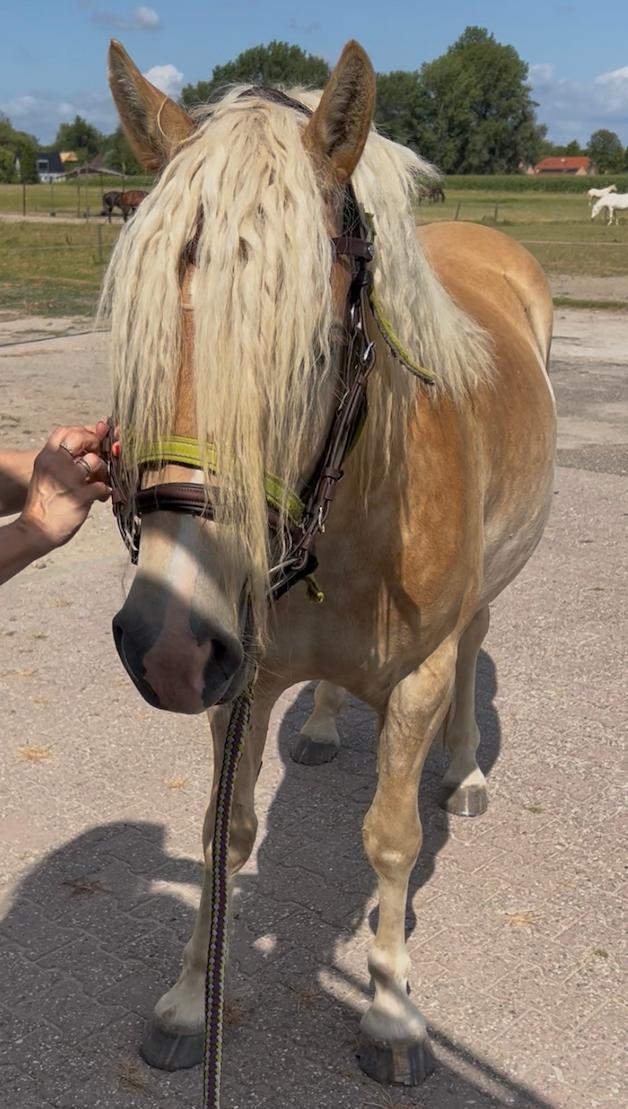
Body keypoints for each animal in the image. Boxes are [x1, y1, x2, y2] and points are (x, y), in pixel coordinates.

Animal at [102, 37, 556, 1093]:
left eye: (315, 346)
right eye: (140, 339)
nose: (166, 644)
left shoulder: (418, 675)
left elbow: (391, 840)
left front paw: (390, 1011)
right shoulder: (239, 680)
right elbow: (220, 835)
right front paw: (188, 998)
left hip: (482, 602)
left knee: (472, 654)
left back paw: (464, 771)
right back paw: (318, 722)